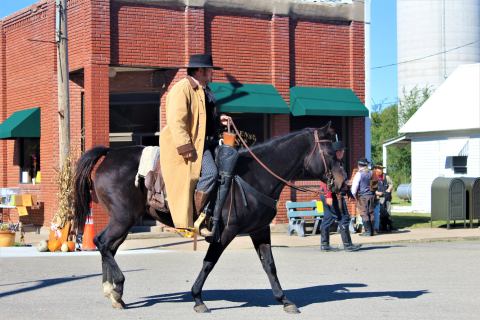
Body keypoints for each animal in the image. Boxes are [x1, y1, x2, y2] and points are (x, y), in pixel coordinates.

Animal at [73, 124, 344, 312]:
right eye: (332, 154)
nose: (342, 184)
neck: (257, 175)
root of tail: (109, 155)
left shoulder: (259, 230)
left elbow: (269, 265)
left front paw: (284, 299)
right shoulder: (225, 232)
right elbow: (208, 263)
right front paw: (197, 298)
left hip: (124, 220)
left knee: (109, 247)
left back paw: (114, 293)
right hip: (123, 218)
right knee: (102, 243)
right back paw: (116, 287)